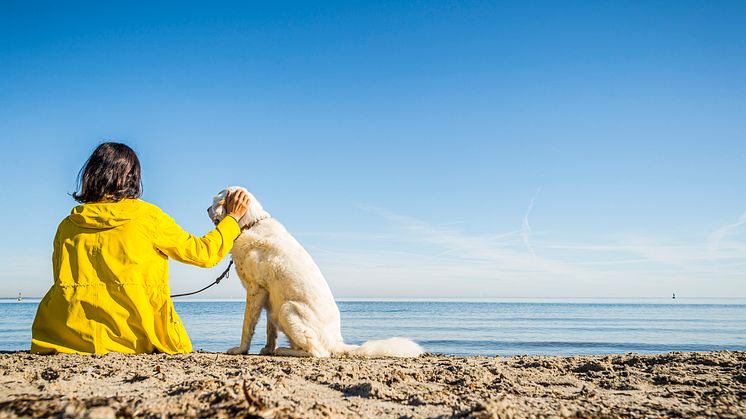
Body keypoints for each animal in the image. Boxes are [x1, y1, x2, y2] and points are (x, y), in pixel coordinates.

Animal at [206, 186, 422, 358]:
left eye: (215, 200)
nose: (206, 209)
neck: (251, 224)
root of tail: (336, 342)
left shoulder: (256, 289)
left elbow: (247, 326)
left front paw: (241, 349)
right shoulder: (269, 296)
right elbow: (270, 329)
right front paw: (268, 348)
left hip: (287, 308)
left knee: (319, 352)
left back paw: (284, 351)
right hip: (281, 308)